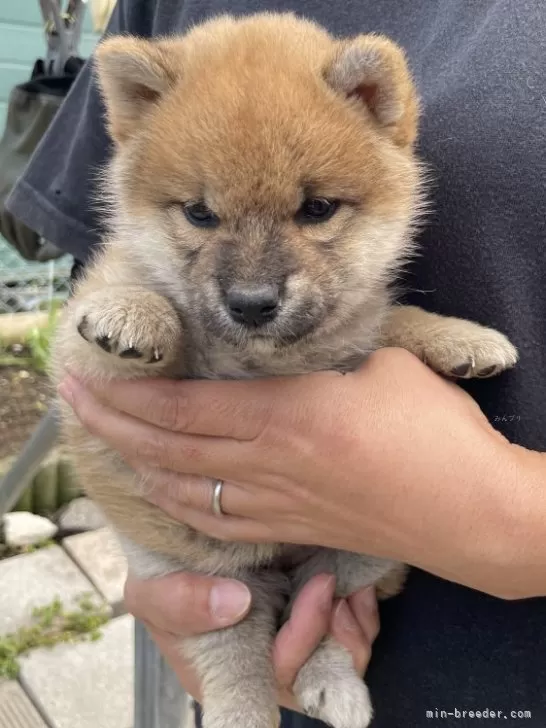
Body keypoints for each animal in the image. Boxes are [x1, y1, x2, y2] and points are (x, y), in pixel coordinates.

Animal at [53, 12, 516, 728]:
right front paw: (133, 313)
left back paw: (334, 685)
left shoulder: (355, 331)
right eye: (199, 213)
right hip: (196, 575)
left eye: (316, 209)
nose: (250, 303)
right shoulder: (88, 382)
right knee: (236, 652)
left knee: (321, 610)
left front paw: (461, 338)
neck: (260, 360)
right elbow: (136, 312)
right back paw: (244, 710)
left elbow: (395, 318)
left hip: (361, 552)